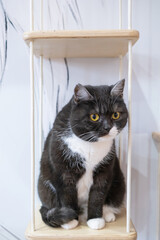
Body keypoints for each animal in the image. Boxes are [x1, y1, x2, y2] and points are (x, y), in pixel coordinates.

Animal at [37, 80, 127, 231]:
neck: (90, 144)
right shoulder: (63, 172)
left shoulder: (104, 170)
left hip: (119, 182)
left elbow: (97, 195)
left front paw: (95, 219)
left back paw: (107, 214)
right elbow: (67, 194)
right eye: (94, 116)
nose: (107, 127)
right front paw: (70, 220)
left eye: (115, 115)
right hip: (44, 186)